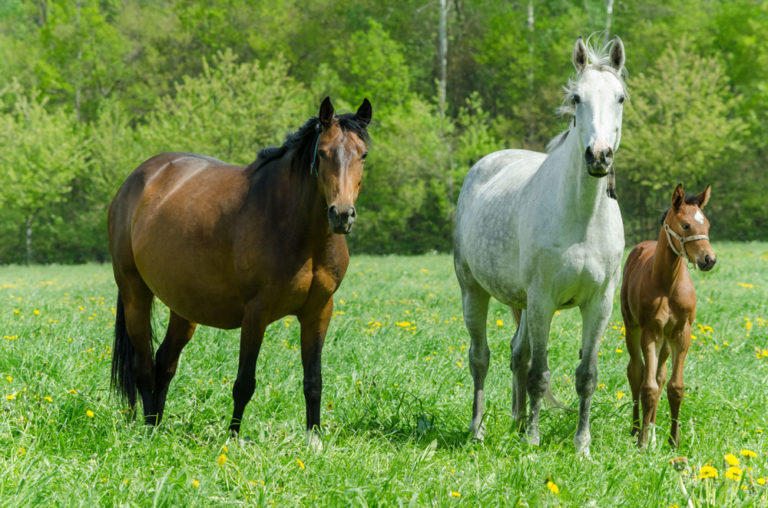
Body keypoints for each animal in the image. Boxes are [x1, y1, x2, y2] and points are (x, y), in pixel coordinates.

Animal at [108, 97, 372, 448]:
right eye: (324, 153)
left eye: (363, 154)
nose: (341, 215)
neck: (297, 229)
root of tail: (136, 180)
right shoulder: (256, 314)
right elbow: (245, 382)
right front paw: (232, 439)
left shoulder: (319, 311)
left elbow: (313, 379)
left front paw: (314, 440)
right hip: (135, 294)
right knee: (144, 367)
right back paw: (150, 430)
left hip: (184, 308)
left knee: (164, 362)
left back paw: (159, 425)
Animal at [453, 36, 626, 455]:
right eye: (577, 98)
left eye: (620, 98)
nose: (599, 155)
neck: (582, 218)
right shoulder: (543, 299)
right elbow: (540, 374)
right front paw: (533, 441)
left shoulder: (599, 303)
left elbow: (586, 375)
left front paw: (582, 445)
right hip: (474, 291)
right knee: (481, 358)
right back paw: (478, 429)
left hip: (523, 302)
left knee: (517, 353)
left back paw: (516, 423)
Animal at [621, 184, 715, 447]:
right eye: (685, 225)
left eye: (707, 225)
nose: (709, 259)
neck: (668, 284)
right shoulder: (650, 332)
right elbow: (648, 387)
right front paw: (642, 442)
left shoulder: (682, 332)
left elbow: (675, 386)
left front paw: (674, 441)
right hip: (632, 327)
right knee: (637, 371)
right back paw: (637, 429)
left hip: (666, 340)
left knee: (660, 375)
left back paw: (652, 429)